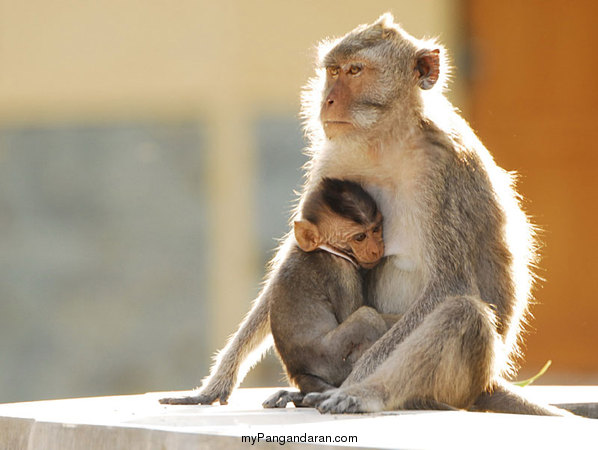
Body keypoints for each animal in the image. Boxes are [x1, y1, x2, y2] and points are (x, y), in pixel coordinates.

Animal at [264, 178, 398, 408]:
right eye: (360, 237)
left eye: (376, 229)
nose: (376, 249)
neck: (325, 248)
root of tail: (299, 374)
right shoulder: (342, 274)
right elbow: (352, 312)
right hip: (333, 359)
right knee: (367, 316)